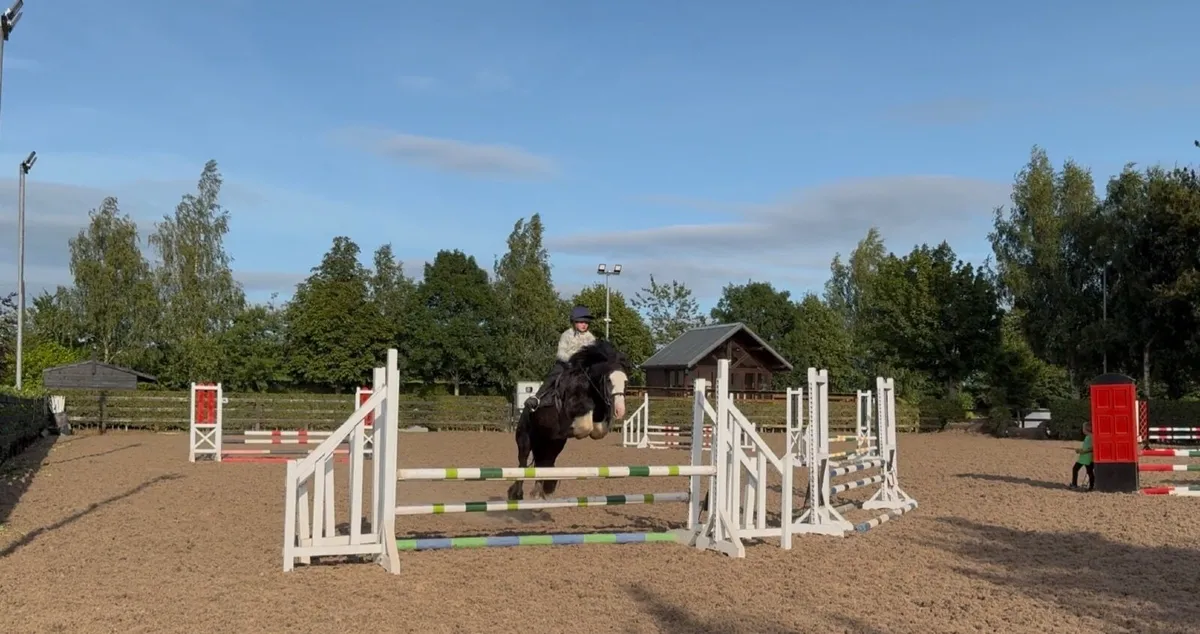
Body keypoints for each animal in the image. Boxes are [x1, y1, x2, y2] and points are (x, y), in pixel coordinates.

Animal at [506, 340, 630, 501]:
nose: (620, 410)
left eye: (625, 381)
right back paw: (517, 494)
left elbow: (598, 430)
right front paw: (573, 431)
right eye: (609, 380)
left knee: (543, 463)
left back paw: (540, 491)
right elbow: (585, 426)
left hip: (552, 445)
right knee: (522, 463)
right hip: (525, 439)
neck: (588, 387)